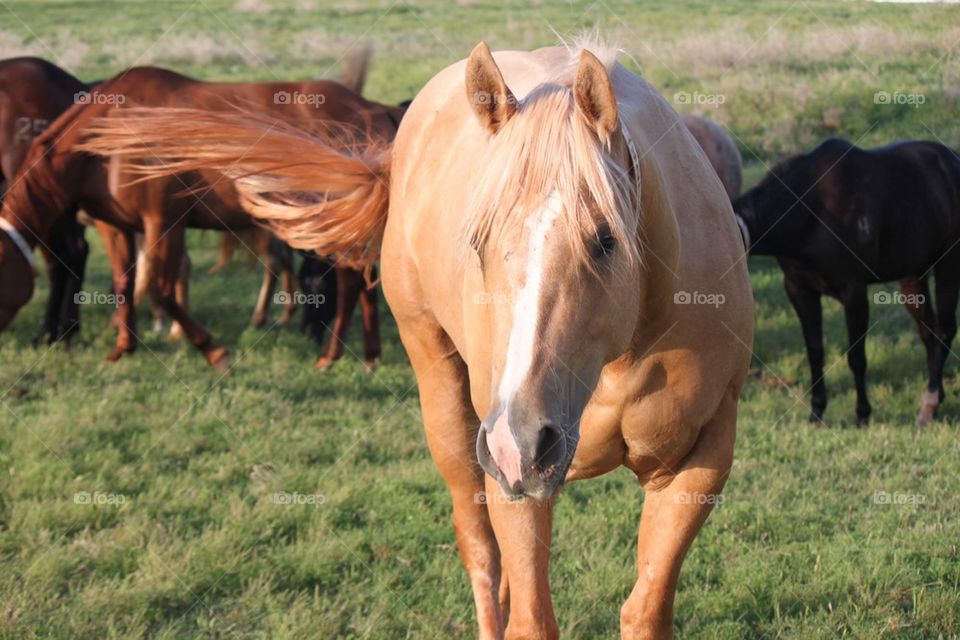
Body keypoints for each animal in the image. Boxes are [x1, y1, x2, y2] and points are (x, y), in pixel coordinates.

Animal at [0, 63, 402, 370]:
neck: (111, 131)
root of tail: (374, 108)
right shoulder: (115, 227)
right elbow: (124, 284)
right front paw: (123, 346)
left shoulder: (163, 224)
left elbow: (163, 291)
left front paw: (212, 350)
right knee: (361, 280)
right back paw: (369, 356)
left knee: (348, 281)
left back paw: (332, 355)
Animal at [77, 42, 752, 636]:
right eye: (477, 241)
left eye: (606, 239)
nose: (523, 442)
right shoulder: (512, 477)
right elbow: (529, 618)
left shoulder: (697, 467)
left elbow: (644, 613)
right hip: (452, 409)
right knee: (482, 556)